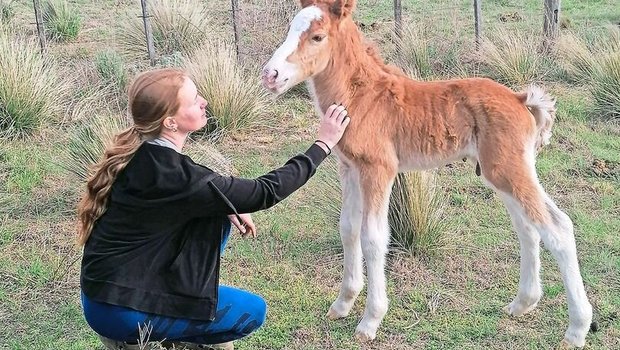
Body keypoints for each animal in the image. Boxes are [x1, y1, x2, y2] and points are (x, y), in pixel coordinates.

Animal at [260, 0, 592, 346]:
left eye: (318, 36)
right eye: (291, 28)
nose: (270, 75)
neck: (361, 95)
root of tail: (521, 99)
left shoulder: (379, 169)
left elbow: (373, 237)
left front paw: (370, 320)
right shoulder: (349, 168)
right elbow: (348, 228)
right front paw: (342, 304)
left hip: (509, 169)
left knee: (557, 228)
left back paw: (576, 329)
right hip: (501, 171)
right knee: (528, 228)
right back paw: (522, 303)